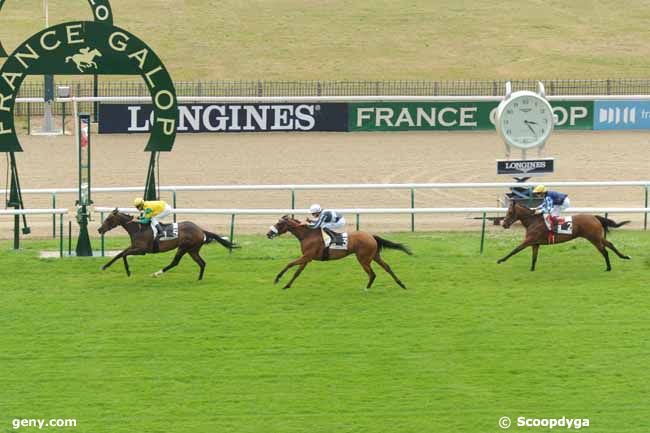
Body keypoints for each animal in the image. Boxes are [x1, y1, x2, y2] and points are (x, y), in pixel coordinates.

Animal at [97, 209, 234, 280]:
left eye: (108, 219)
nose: (99, 229)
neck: (138, 228)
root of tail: (200, 230)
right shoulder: (134, 247)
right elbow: (120, 254)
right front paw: (105, 266)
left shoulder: (141, 250)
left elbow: (123, 254)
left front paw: (128, 271)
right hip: (192, 250)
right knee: (202, 263)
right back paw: (199, 279)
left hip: (184, 248)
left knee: (176, 262)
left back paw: (157, 273)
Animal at [264, 214, 410, 288]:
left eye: (279, 224)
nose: (268, 234)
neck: (308, 235)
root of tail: (371, 236)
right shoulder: (307, 258)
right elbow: (297, 273)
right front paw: (287, 285)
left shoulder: (307, 256)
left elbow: (289, 264)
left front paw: (277, 279)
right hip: (374, 256)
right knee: (387, 267)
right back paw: (401, 284)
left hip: (363, 259)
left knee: (372, 274)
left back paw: (367, 288)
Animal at [496, 200, 628, 270]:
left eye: (510, 212)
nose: (504, 224)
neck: (533, 221)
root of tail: (594, 217)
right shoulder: (535, 243)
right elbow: (534, 257)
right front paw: (532, 269)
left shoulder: (529, 240)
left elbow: (515, 250)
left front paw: (500, 260)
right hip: (597, 237)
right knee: (610, 244)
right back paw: (625, 257)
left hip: (593, 238)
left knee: (604, 251)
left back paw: (608, 267)